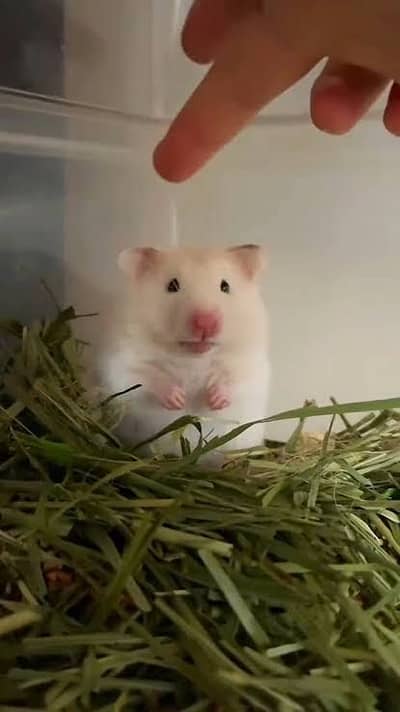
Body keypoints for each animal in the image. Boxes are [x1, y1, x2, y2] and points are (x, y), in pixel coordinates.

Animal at [98, 244, 270, 460]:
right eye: (172, 286)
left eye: (225, 286)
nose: (206, 323)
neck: (194, 357)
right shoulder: (127, 363)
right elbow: (147, 379)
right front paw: (179, 400)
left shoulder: (249, 366)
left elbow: (233, 381)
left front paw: (213, 401)